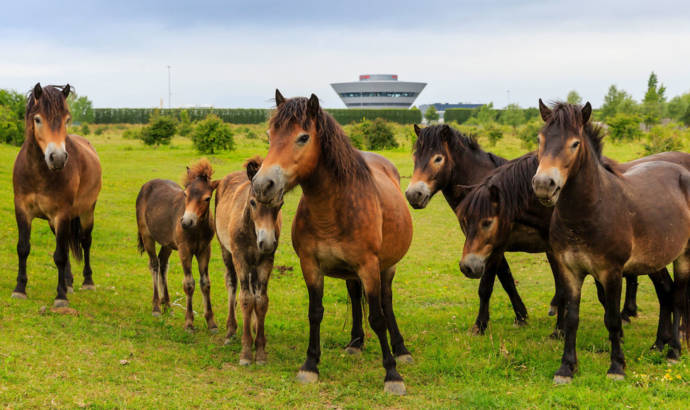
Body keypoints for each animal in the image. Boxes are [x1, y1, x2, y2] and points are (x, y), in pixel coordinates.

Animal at [12, 83, 101, 306]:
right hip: (56, 222)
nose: (58, 158)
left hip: (87, 212)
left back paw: (87, 281)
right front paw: (20, 289)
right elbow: (23, 248)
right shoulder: (22, 210)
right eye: (37, 119)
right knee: (68, 245)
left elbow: (59, 255)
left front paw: (60, 297)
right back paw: (68, 282)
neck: (39, 173)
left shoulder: (62, 214)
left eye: (67, 119)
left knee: (85, 241)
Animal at [136, 159, 218, 332]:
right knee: (154, 264)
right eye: (185, 194)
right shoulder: (184, 250)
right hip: (147, 236)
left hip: (167, 243)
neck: (197, 229)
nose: (186, 222)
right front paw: (189, 323)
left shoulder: (204, 250)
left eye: (207, 198)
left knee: (162, 264)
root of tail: (146, 185)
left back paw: (167, 305)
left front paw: (211, 323)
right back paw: (156, 307)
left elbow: (205, 283)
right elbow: (189, 284)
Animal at [214, 156, 280, 366]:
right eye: (252, 202)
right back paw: (231, 331)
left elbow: (261, 300)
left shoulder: (266, 260)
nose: (266, 242)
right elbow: (245, 299)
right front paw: (245, 353)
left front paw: (259, 350)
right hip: (226, 251)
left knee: (253, 288)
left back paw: (252, 327)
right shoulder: (240, 258)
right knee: (232, 283)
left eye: (280, 204)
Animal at [253, 90, 414, 394]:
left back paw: (400, 349)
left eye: (303, 137)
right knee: (355, 294)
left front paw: (392, 375)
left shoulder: (369, 266)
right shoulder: (311, 266)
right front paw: (310, 365)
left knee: (386, 302)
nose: (262, 185)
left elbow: (378, 318)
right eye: (269, 135)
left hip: (386, 267)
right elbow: (315, 312)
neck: (333, 210)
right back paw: (356, 343)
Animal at [528, 101, 684, 382]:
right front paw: (566, 368)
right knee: (667, 292)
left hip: (683, 257)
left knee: (678, 296)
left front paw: (617, 367)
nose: (544, 185)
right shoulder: (570, 271)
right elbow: (572, 319)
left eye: (575, 144)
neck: (590, 211)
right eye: (539, 139)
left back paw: (675, 350)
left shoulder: (611, 273)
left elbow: (612, 318)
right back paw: (660, 344)